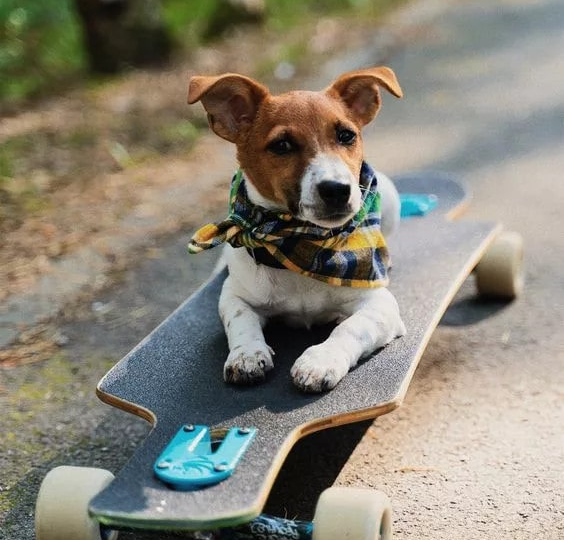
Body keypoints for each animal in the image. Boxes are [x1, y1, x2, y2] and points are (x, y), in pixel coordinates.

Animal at [188, 67, 406, 392]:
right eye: (282, 145)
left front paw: (321, 360)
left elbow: (349, 328)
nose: (337, 189)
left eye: (346, 135)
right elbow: (240, 320)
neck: (301, 242)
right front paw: (247, 354)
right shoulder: (234, 295)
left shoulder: (380, 304)